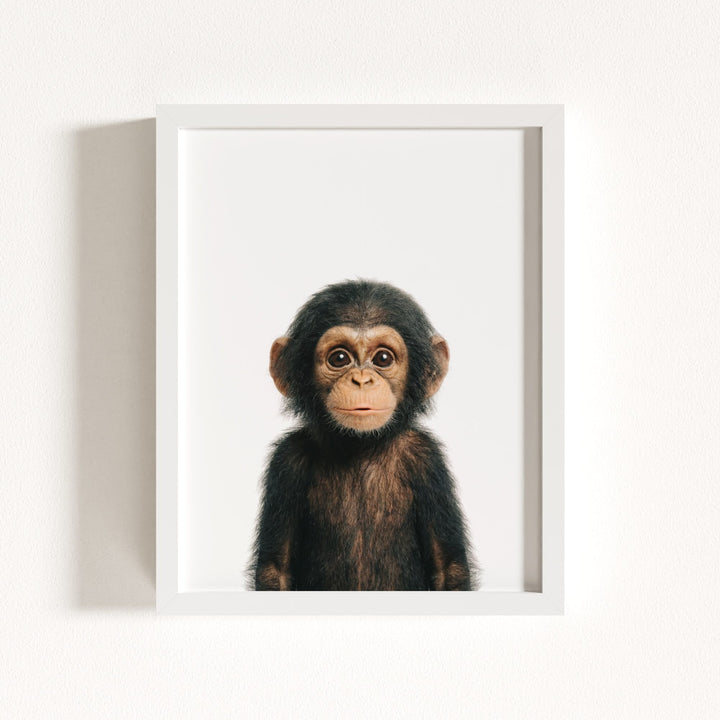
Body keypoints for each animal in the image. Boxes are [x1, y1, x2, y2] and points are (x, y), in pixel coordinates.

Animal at [249, 279, 476, 591]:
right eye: (339, 358)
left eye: (383, 358)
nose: (361, 380)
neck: (360, 446)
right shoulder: (286, 461)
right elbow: (275, 569)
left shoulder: (427, 459)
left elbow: (448, 568)